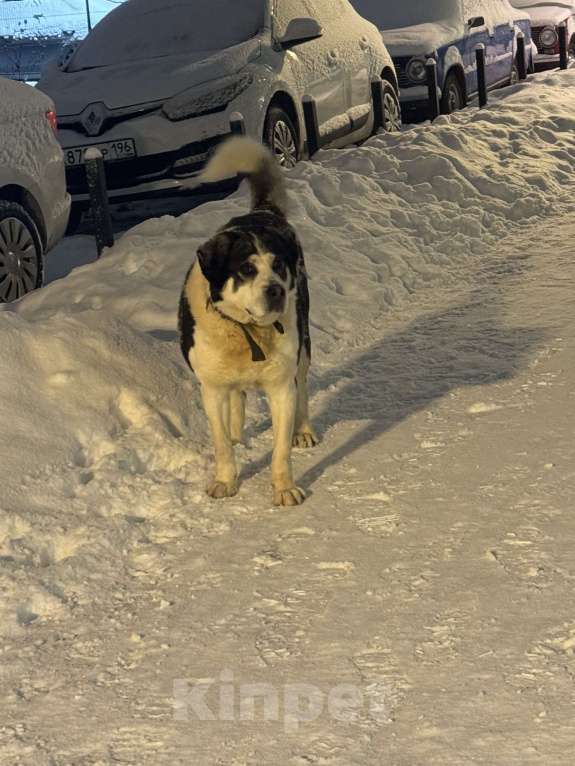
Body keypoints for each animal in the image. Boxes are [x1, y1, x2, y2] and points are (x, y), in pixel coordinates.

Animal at [179, 140, 318, 510]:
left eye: (279, 264)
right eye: (246, 269)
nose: (277, 290)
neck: (246, 332)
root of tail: (264, 211)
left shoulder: (281, 386)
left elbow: (280, 448)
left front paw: (284, 488)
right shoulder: (212, 388)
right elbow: (221, 442)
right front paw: (225, 480)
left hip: (303, 346)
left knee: (302, 386)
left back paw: (303, 431)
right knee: (236, 400)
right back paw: (238, 433)